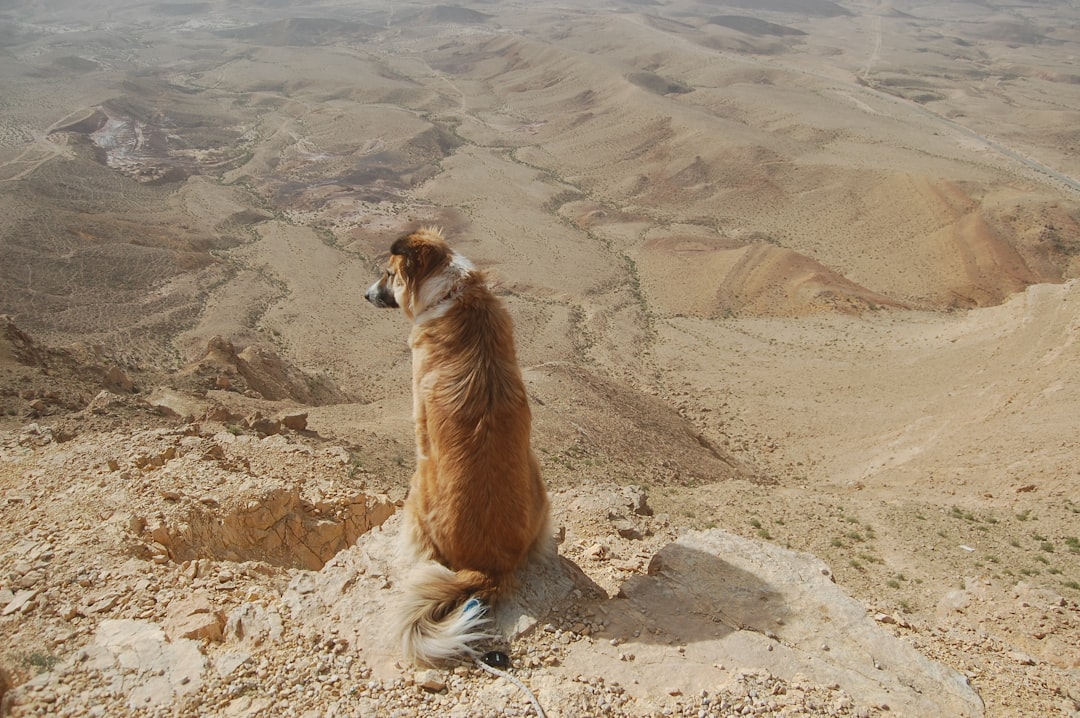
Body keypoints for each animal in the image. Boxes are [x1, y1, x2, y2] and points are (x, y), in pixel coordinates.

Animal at [367, 226, 552, 665]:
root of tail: (489, 568)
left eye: (388, 274)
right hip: (538, 477)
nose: (366, 294)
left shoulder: (419, 422)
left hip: (418, 488)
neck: (453, 293)